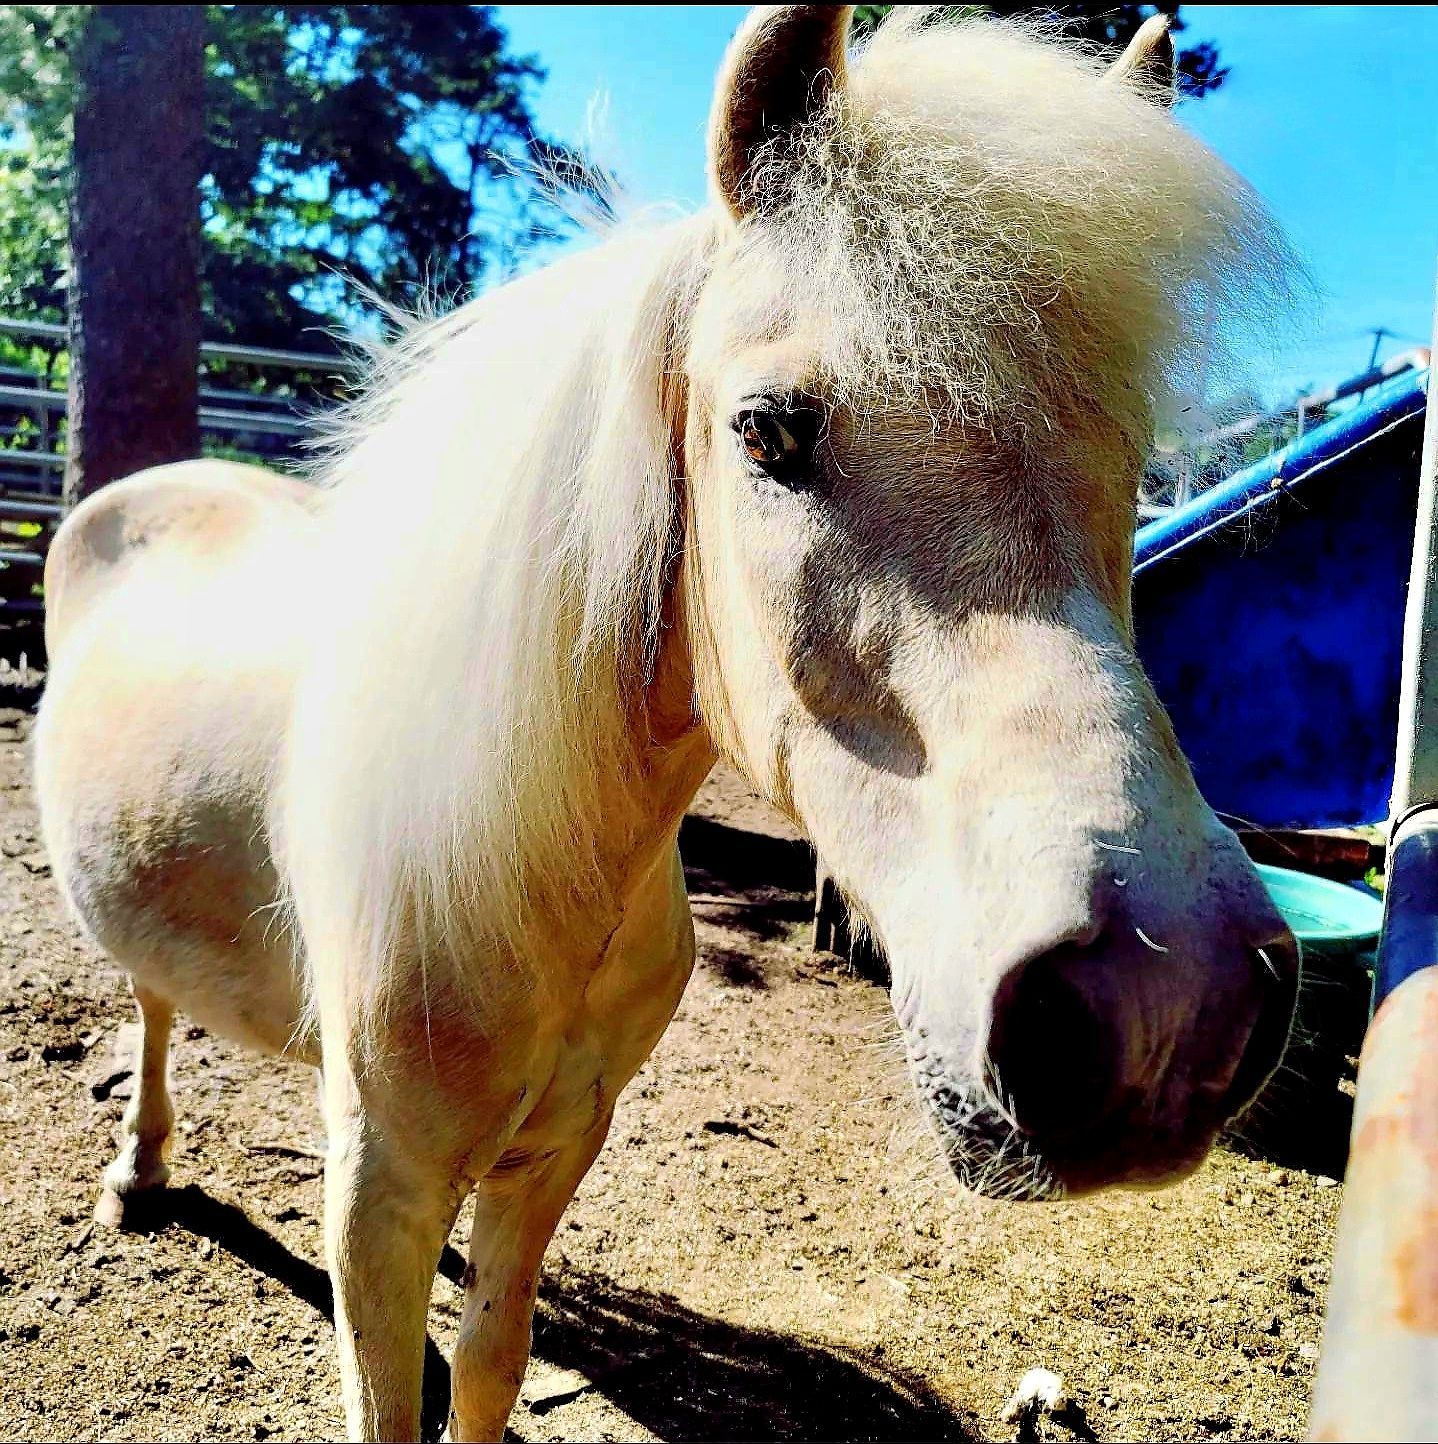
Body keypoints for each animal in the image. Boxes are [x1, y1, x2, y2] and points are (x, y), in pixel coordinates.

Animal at [34, 6, 1302, 1439]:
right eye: (767, 430)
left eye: (1134, 463)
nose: (1163, 1007)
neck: (534, 869)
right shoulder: (377, 1185)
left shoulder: (555, 1147)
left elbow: (491, 1360)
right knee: (147, 1002)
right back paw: (137, 1171)